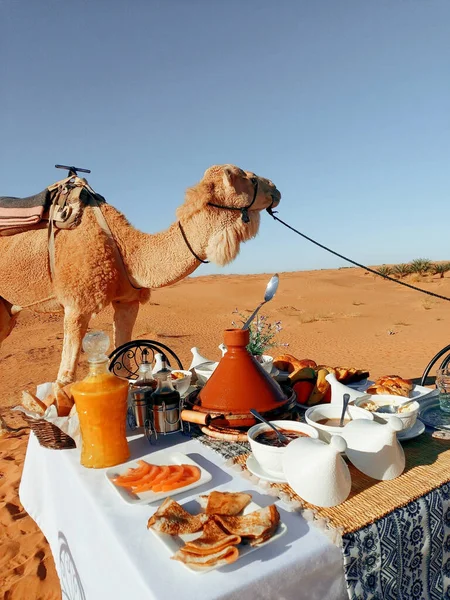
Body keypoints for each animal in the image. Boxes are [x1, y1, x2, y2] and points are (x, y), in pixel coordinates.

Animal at [0, 164, 282, 390]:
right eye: (250, 178)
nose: (276, 189)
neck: (125, 248)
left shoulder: (127, 301)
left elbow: (121, 360)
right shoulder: (77, 304)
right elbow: (65, 377)